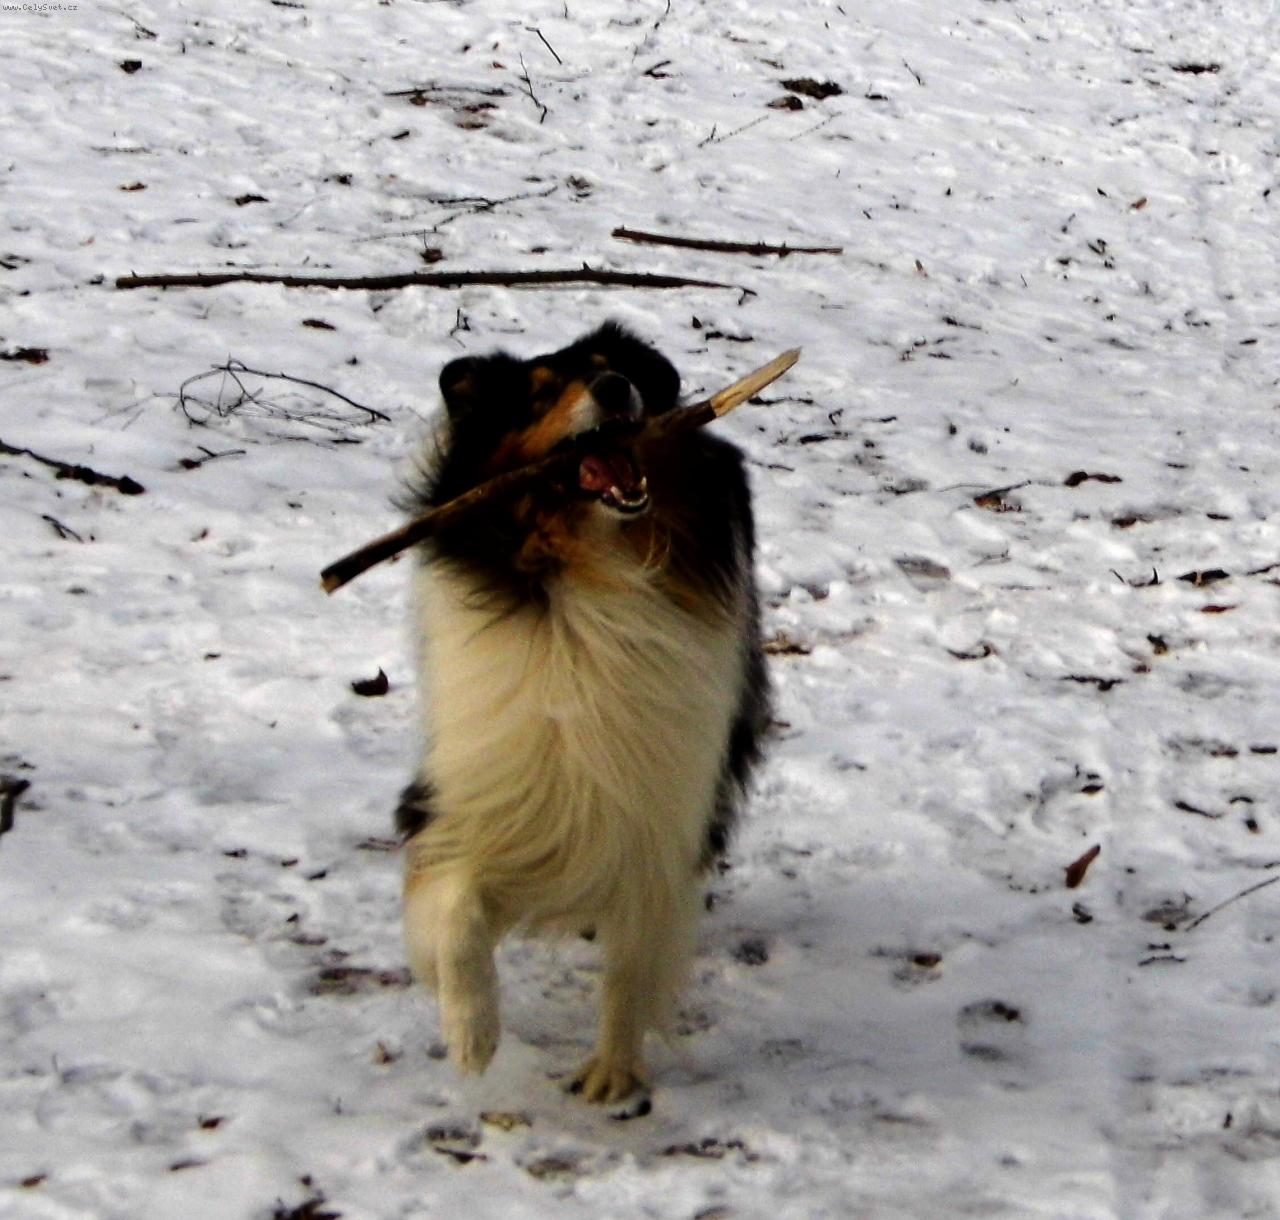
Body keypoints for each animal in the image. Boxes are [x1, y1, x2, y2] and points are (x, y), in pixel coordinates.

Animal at [395, 323, 769, 1103]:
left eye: (611, 368)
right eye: (539, 395)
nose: (613, 388)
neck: (590, 574)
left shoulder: (658, 820)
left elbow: (633, 960)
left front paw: (612, 1072)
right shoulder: (475, 793)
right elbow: (455, 906)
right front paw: (471, 1030)